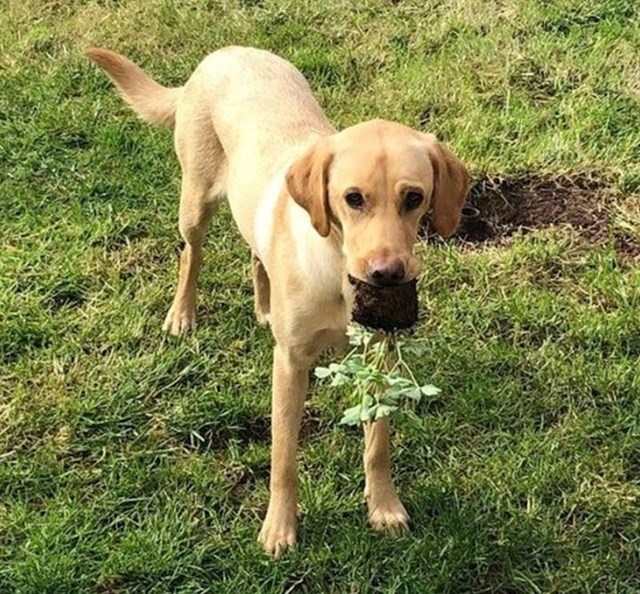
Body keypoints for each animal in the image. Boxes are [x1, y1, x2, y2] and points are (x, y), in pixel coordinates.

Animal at [85, 46, 468, 556]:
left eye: (414, 197)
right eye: (353, 198)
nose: (387, 273)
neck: (337, 271)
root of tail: (225, 53)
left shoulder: (377, 357)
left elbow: (378, 441)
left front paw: (384, 507)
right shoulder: (288, 363)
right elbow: (283, 455)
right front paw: (279, 528)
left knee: (254, 251)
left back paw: (263, 307)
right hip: (195, 203)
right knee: (191, 254)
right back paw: (182, 314)